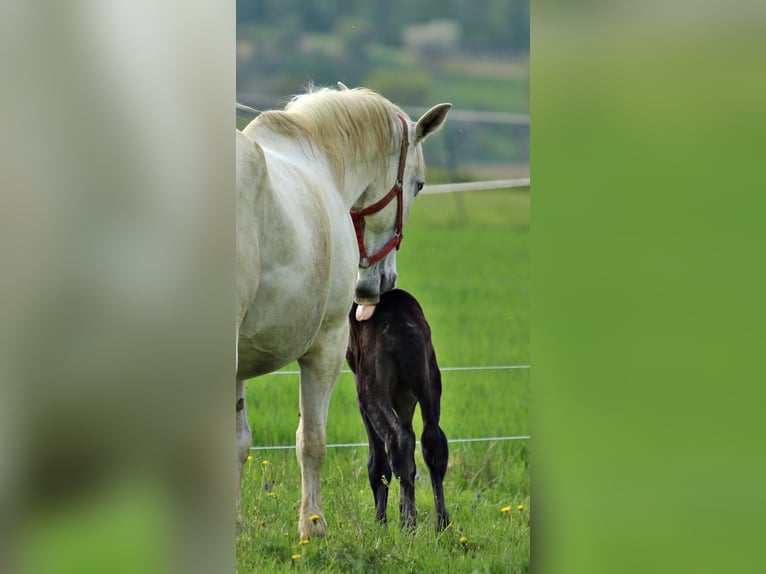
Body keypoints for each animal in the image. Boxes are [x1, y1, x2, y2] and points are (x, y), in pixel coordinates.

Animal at [346, 290, 450, 532]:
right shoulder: (405, 399)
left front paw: (380, 523)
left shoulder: (363, 397)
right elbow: (412, 459)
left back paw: (409, 524)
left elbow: (378, 462)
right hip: (429, 381)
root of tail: (403, 328)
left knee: (397, 441)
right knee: (433, 441)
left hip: (371, 390)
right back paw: (441, 524)